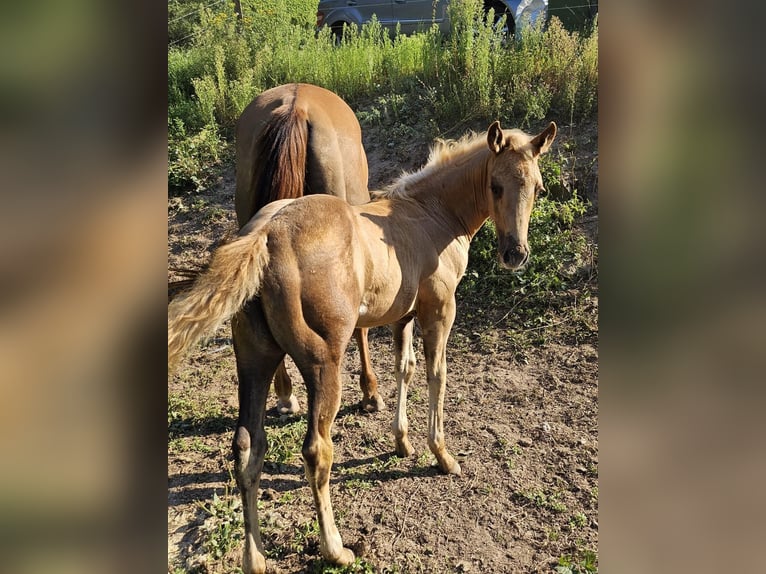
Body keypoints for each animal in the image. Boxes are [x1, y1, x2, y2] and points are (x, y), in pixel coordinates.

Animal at [168, 120, 556, 572]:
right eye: (495, 185)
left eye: (538, 187)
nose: (515, 253)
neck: (431, 213)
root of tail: (266, 235)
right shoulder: (440, 310)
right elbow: (436, 375)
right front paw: (442, 455)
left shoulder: (403, 315)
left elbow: (404, 368)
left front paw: (402, 442)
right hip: (324, 365)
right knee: (316, 451)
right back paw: (337, 549)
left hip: (253, 361)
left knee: (248, 447)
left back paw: (256, 558)